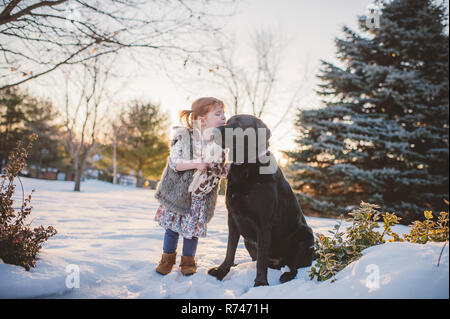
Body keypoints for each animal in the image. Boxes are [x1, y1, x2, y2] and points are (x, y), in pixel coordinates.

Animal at [207, 115, 312, 288]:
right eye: (227, 121)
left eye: (238, 124)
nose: (213, 130)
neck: (245, 165)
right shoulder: (233, 218)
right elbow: (230, 250)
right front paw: (222, 271)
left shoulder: (263, 223)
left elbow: (261, 259)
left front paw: (261, 283)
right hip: (248, 241)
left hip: (305, 235)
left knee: (294, 266)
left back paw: (287, 275)